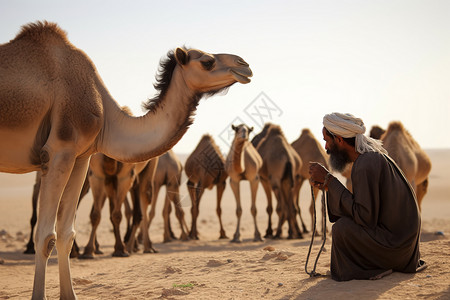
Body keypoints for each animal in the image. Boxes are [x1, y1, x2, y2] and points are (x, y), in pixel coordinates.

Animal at [0, 21, 253, 300]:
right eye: (207, 61)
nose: (244, 64)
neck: (105, 113)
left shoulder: (80, 157)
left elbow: (66, 234)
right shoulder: (58, 151)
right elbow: (46, 237)